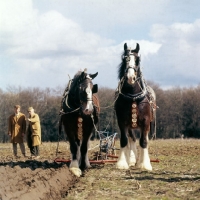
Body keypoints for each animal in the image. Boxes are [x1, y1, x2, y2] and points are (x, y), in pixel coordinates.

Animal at [114, 42, 156, 170]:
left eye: (138, 60)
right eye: (124, 59)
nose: (130, 77)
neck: (133, 97)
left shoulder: (146, 121)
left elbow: (143, 142)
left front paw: (145, 164)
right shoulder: (122, 122)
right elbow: (124, 140)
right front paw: (122, 163)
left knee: (144, 139)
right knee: (131, 139)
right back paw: (132, 160)